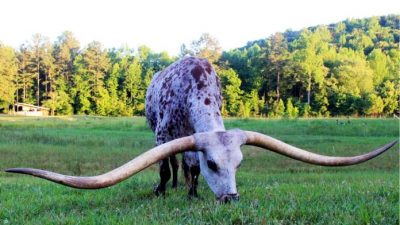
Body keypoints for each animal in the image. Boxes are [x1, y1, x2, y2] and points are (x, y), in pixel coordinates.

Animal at [6, 57, 396, 203]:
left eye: (239, 165)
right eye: (214, 164)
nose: (231, 198)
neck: (195, 88)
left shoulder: (192, 140)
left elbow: (189, 166)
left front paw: (193, 193)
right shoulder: (165, 135)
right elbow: (167, 166)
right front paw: (162, 190)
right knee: (172, 164)